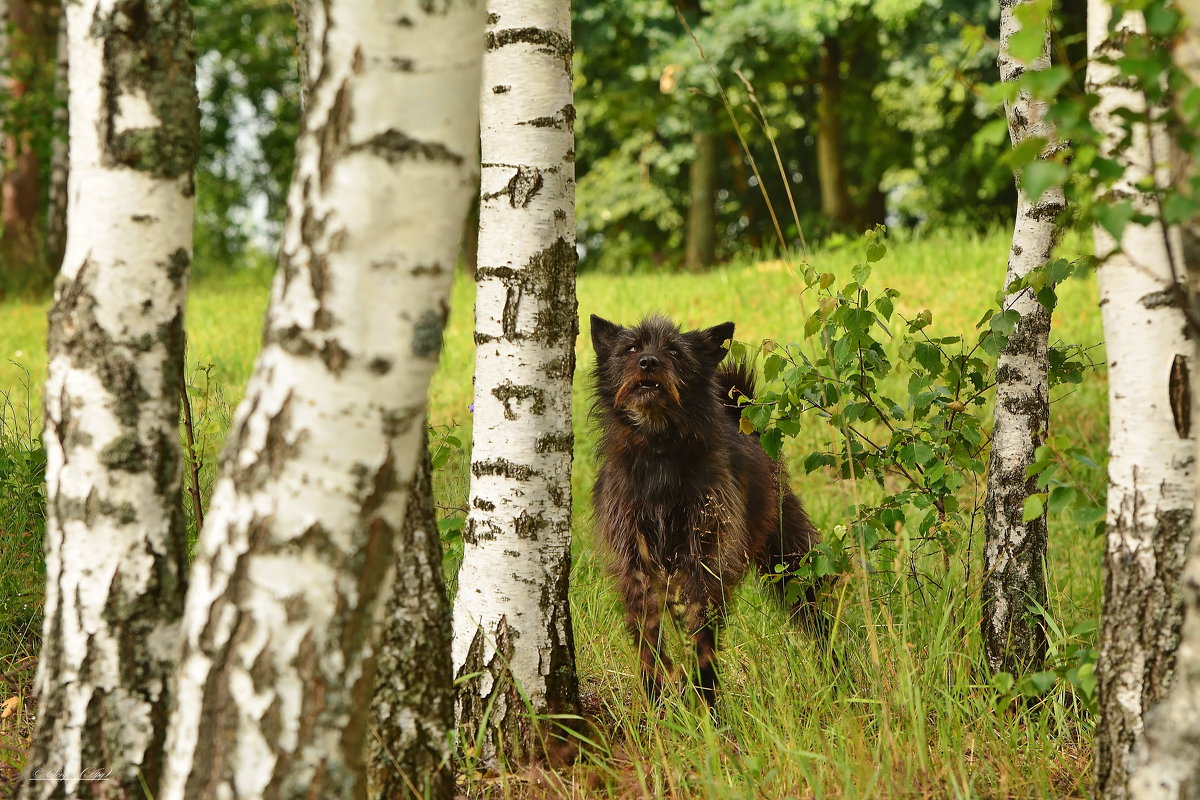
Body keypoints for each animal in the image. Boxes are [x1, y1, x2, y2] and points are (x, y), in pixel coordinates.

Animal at [588, 316, 820, 710]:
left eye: (674, 351)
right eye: (631, 349)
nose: (648, 362)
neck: (659, 453)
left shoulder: (704, 563)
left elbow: (701, 636)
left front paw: (707, 703)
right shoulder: (635, 566)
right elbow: (648, 640)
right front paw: (657, 700)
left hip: (790, 561)